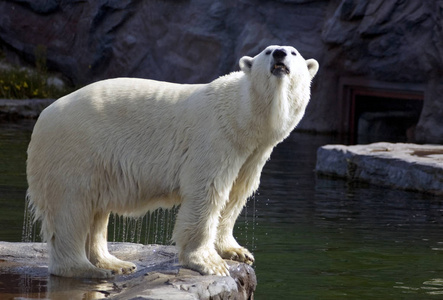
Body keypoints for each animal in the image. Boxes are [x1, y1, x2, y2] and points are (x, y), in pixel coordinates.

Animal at [26, 45, 320, 278]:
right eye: (268, 51)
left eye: (293, 52)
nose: (280, 54)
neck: (240, 116)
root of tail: (43, 116)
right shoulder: (214, 138)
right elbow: (207, 192)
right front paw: (209, 263)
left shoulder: (251, 155)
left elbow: (235, 195)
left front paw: (236, 251)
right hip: (74, 149)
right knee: (72, 207)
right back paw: (85, 269)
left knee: (95, 212)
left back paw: (114, 263)